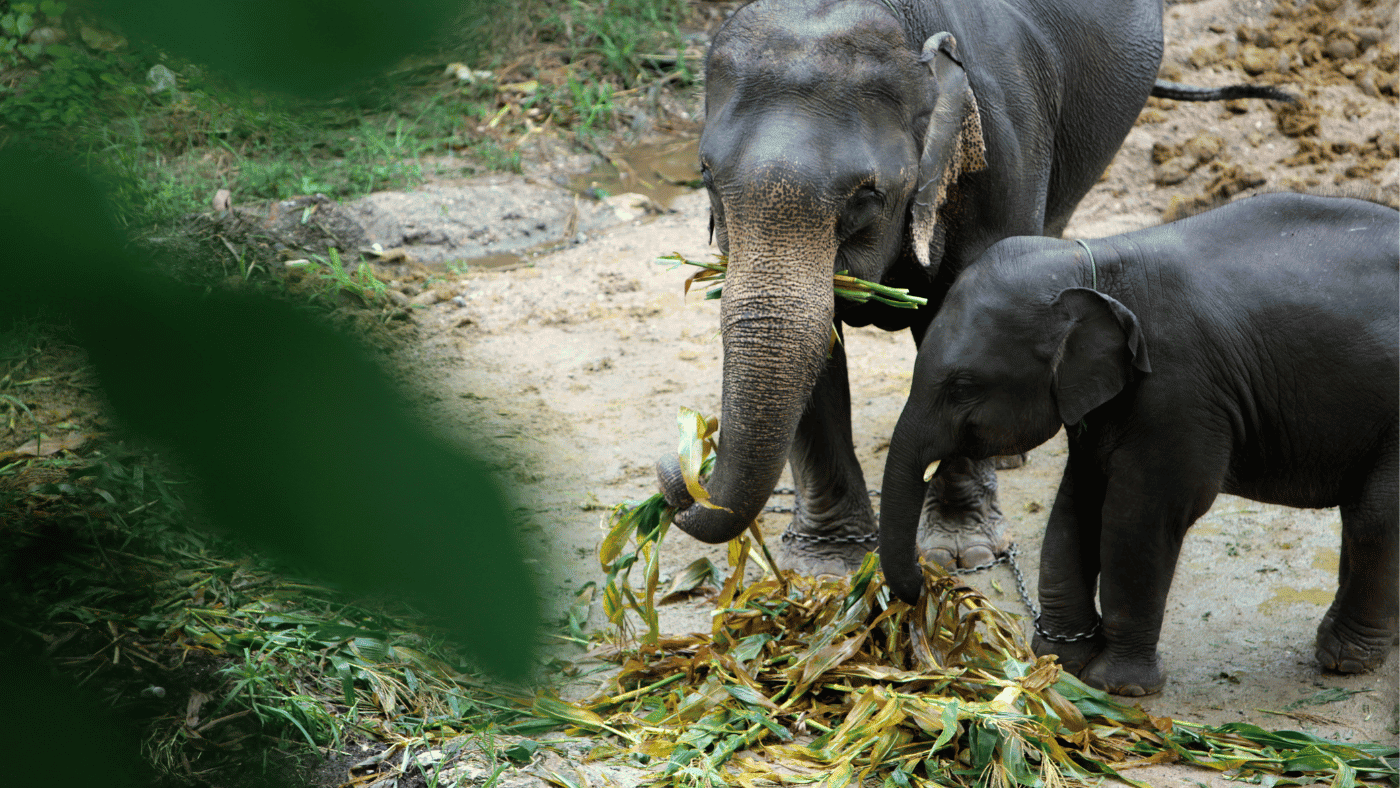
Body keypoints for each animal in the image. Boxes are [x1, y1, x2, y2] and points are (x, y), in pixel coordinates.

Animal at [652, 0, 1260, 576]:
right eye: (706, 176)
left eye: (867, 195)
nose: (677, 478)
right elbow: (817, 351)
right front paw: (824, 565)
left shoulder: (1001, 150)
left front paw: (962, 553)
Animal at [879, 193, 1394, 697]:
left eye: (963, 386)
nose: (928, 585)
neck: (1091, 264)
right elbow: (1077, 504)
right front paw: (1061, 660)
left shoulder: (1178, 388)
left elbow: (1143, 516)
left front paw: (1119, 686)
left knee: (1374, 515)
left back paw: (1345, 661)